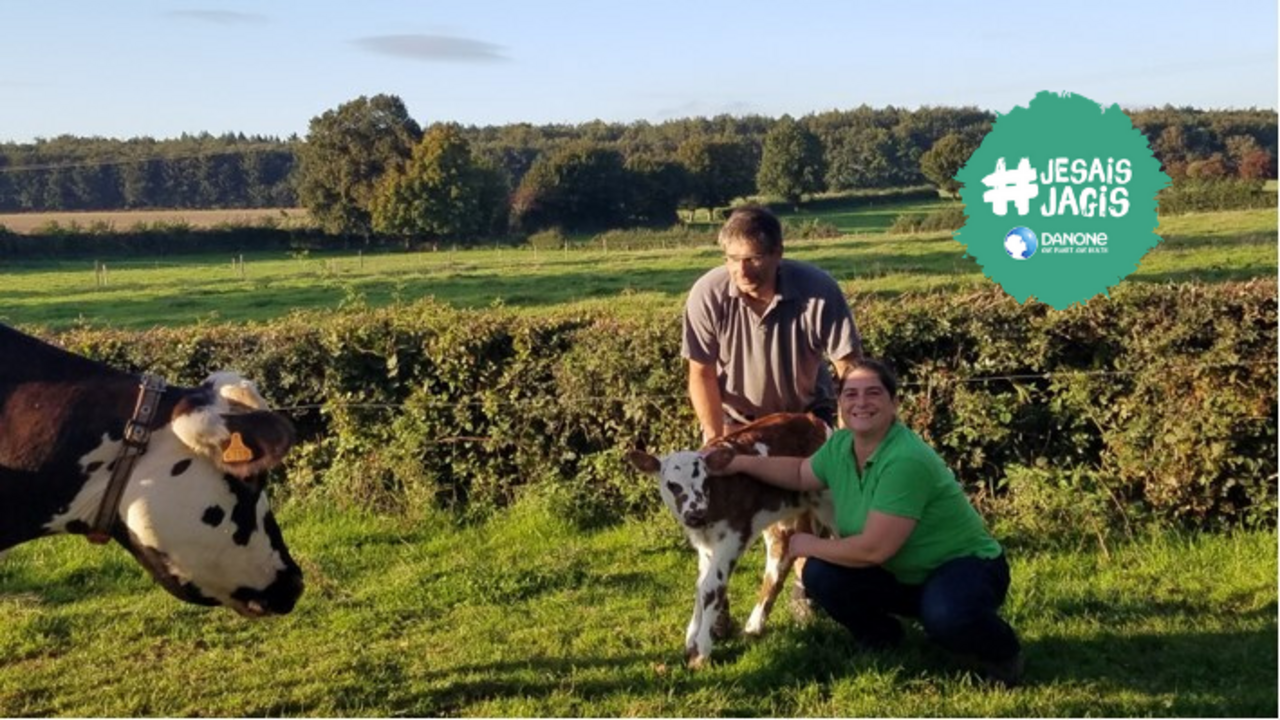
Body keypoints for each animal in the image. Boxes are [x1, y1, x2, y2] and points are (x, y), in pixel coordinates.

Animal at [627, 412, 833, 668]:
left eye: (705, 481)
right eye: (672, 485)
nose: (695, 514)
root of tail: (812, 419)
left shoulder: (733, 536)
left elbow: (711, 587)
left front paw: (701, 651)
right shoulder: (705, 546)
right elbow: (700, 585)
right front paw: (691, 639)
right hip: (782, 520)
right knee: (781, 559)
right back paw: (754, 626)